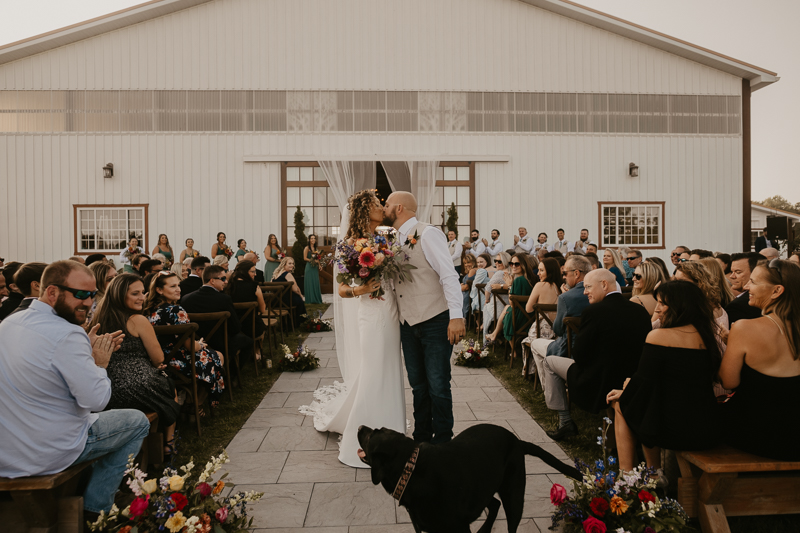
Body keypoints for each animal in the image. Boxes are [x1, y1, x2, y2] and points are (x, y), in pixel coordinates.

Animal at [358, 422, 580, 528]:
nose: (359, 426)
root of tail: (517, 441)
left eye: (371, 435)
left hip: (513, 496)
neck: (411, 469)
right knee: (494, 504)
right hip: (483, 487)